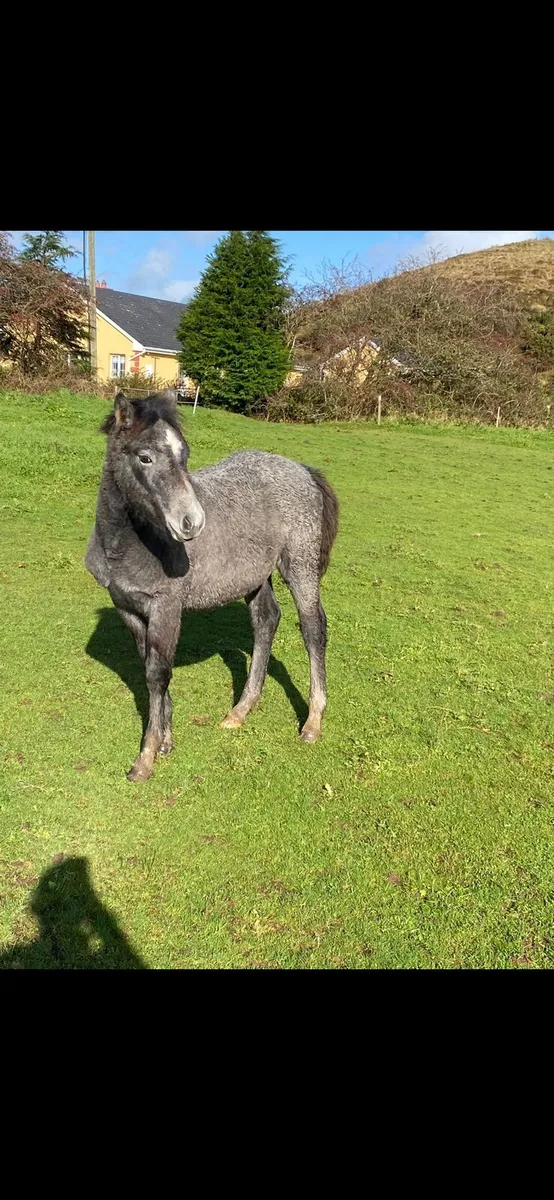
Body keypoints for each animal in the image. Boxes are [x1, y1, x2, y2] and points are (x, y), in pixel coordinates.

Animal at [85, 390, 339, 782]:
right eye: (145, 457)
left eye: (184, 455)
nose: (191, 522)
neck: (127, 546)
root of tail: (303, 470)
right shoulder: (127, 607)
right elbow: (150, 667)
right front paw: (165, 742)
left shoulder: (166, 607)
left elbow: (158, 673)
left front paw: (146, 758)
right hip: (254, 576)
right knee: (266, 620)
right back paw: (240, 710)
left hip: (300, 566)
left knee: (313, 629)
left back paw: (312, 722)